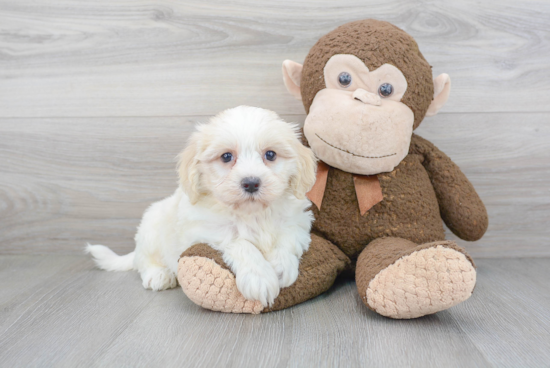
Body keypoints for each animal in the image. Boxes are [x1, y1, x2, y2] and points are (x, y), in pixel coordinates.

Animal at [87, 105, 320, 306]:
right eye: (226, 156)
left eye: (270, 154)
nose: (251, 183)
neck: (251, 214)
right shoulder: (205, 230)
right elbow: (239, 242)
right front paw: (259, 276)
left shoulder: (297, 222)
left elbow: (286, 237)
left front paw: (281, 266)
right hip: (150, 229)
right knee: (144, 261)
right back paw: (159, 275)